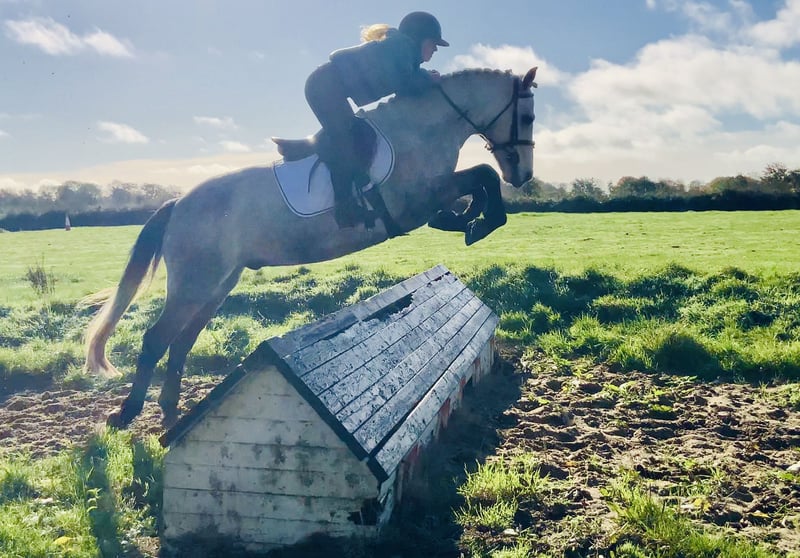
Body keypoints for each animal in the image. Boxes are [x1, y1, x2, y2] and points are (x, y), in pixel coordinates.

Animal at [85, 66, 538, 428]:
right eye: (528, 117)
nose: (524, 176)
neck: (422, 127)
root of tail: (179, 203)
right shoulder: (416, 201)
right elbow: (481, 174)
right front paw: (479, 221)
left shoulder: (428, 197)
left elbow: (477, 181)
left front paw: (470, 220)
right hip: (196, 282)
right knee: (156, 339)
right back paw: (127, 415)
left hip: (217, 285)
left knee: (181, 341)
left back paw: (168, 408)